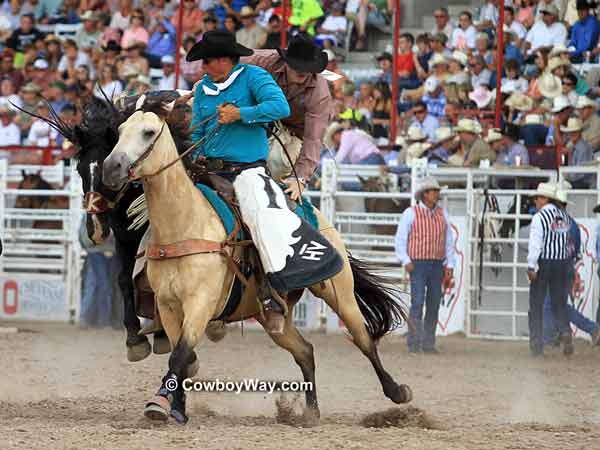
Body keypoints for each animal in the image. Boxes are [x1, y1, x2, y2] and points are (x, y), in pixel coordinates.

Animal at [102, 96, 412, 426]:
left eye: (148, 132)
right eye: (119, 131)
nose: (110, 168)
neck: (185, 224)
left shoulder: (200, 303)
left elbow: (180, 354)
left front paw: (165, 405)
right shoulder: (168, 306)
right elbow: (182, 357)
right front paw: (173, 408)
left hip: (338, 291)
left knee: (363, 338)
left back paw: (397, 392)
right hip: (272, 316)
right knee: (305, 350)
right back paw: (310, 412)